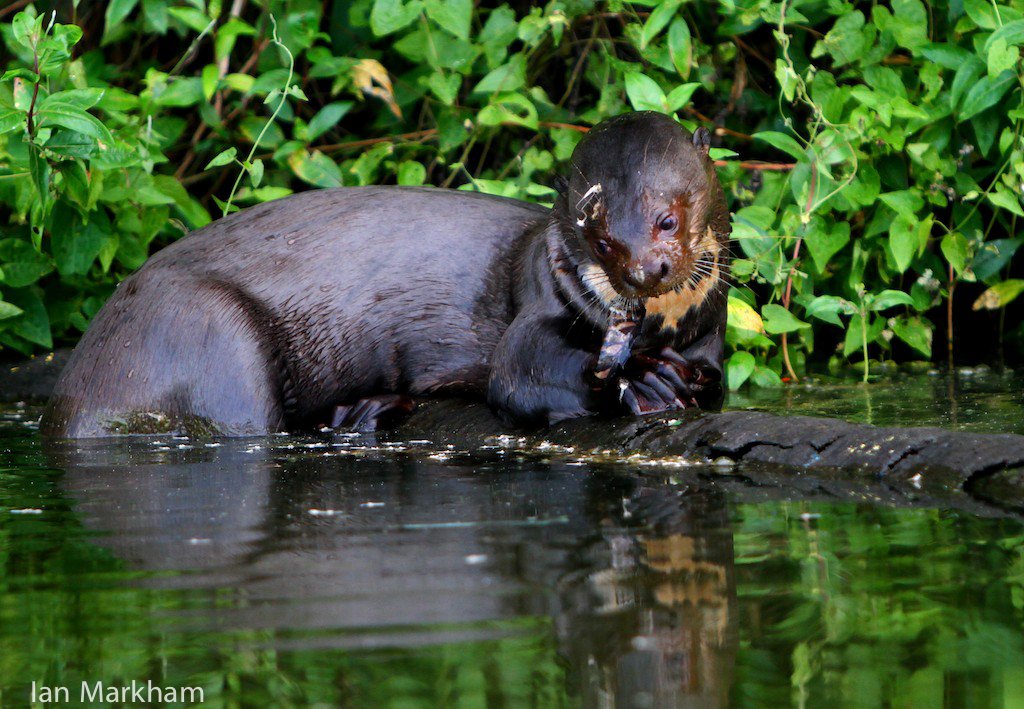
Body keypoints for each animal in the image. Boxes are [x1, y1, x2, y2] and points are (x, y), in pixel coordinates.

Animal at [41, 111, 731, 437]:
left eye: (668, 218)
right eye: (598, 232)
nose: (645, 269)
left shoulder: (710, 329)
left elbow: (716, 378)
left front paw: (679, 376)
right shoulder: (537, 303)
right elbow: (519, 377)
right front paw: (642, 379)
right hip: (207, 332)